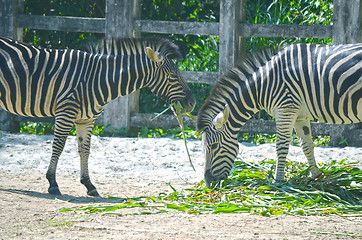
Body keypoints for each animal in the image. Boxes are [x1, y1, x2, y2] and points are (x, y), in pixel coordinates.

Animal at [0, 36, 195, 196]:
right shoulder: (66, 112)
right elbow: (58, 146)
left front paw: (89, 185)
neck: (96, 78)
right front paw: (53, 183)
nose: (192, 104)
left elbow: (85, 150)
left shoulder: (86, 119)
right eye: (172, 76)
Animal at [198, 44, 362, 188]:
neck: (263, 85)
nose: (208, 183)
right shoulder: (300, 115)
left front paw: (278, 182)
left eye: (213, 146)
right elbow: (306, 145)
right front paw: (316, 177)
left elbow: (281, 146)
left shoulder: (286, 109)